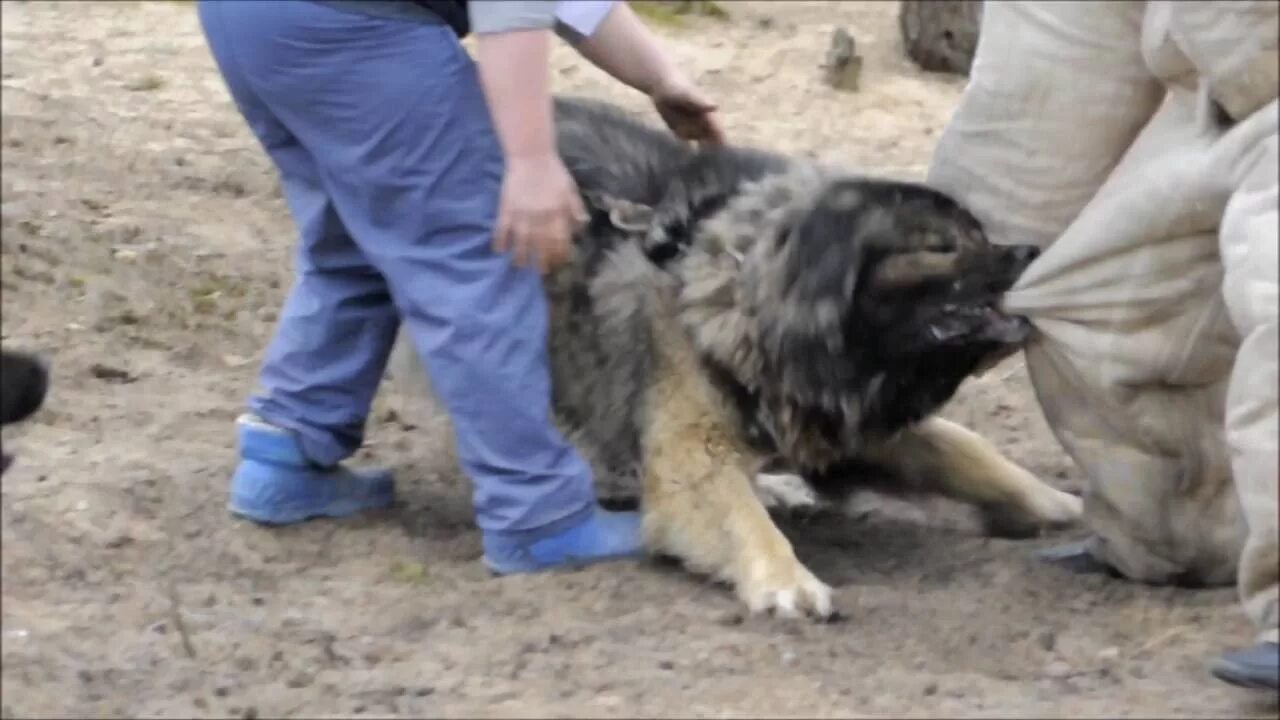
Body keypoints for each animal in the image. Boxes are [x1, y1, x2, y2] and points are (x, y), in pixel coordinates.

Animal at [386, 95, 1080, 617]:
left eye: (981, 231)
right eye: (941, 246)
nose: (1031, 253)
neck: (744, 291)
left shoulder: (848, 417)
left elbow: (972, 451)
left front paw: (1059, 503)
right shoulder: (693, 449)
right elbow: (737, 516)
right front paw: (786, 579)